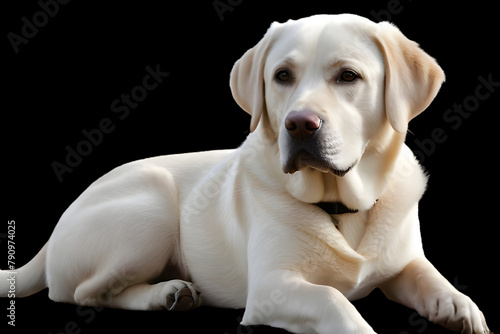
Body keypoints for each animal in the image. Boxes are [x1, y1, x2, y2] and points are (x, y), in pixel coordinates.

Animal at [0, 13, 492, 334]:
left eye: (348, 76)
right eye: (282, 75)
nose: (300, 124)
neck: (338, 206)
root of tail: (53, 233)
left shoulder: (404, 261)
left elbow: (431, 276)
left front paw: (459, 306)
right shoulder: (273, 287)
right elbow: (335, 303)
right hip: (152, 206)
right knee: (83, 293)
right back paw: (165, 293)